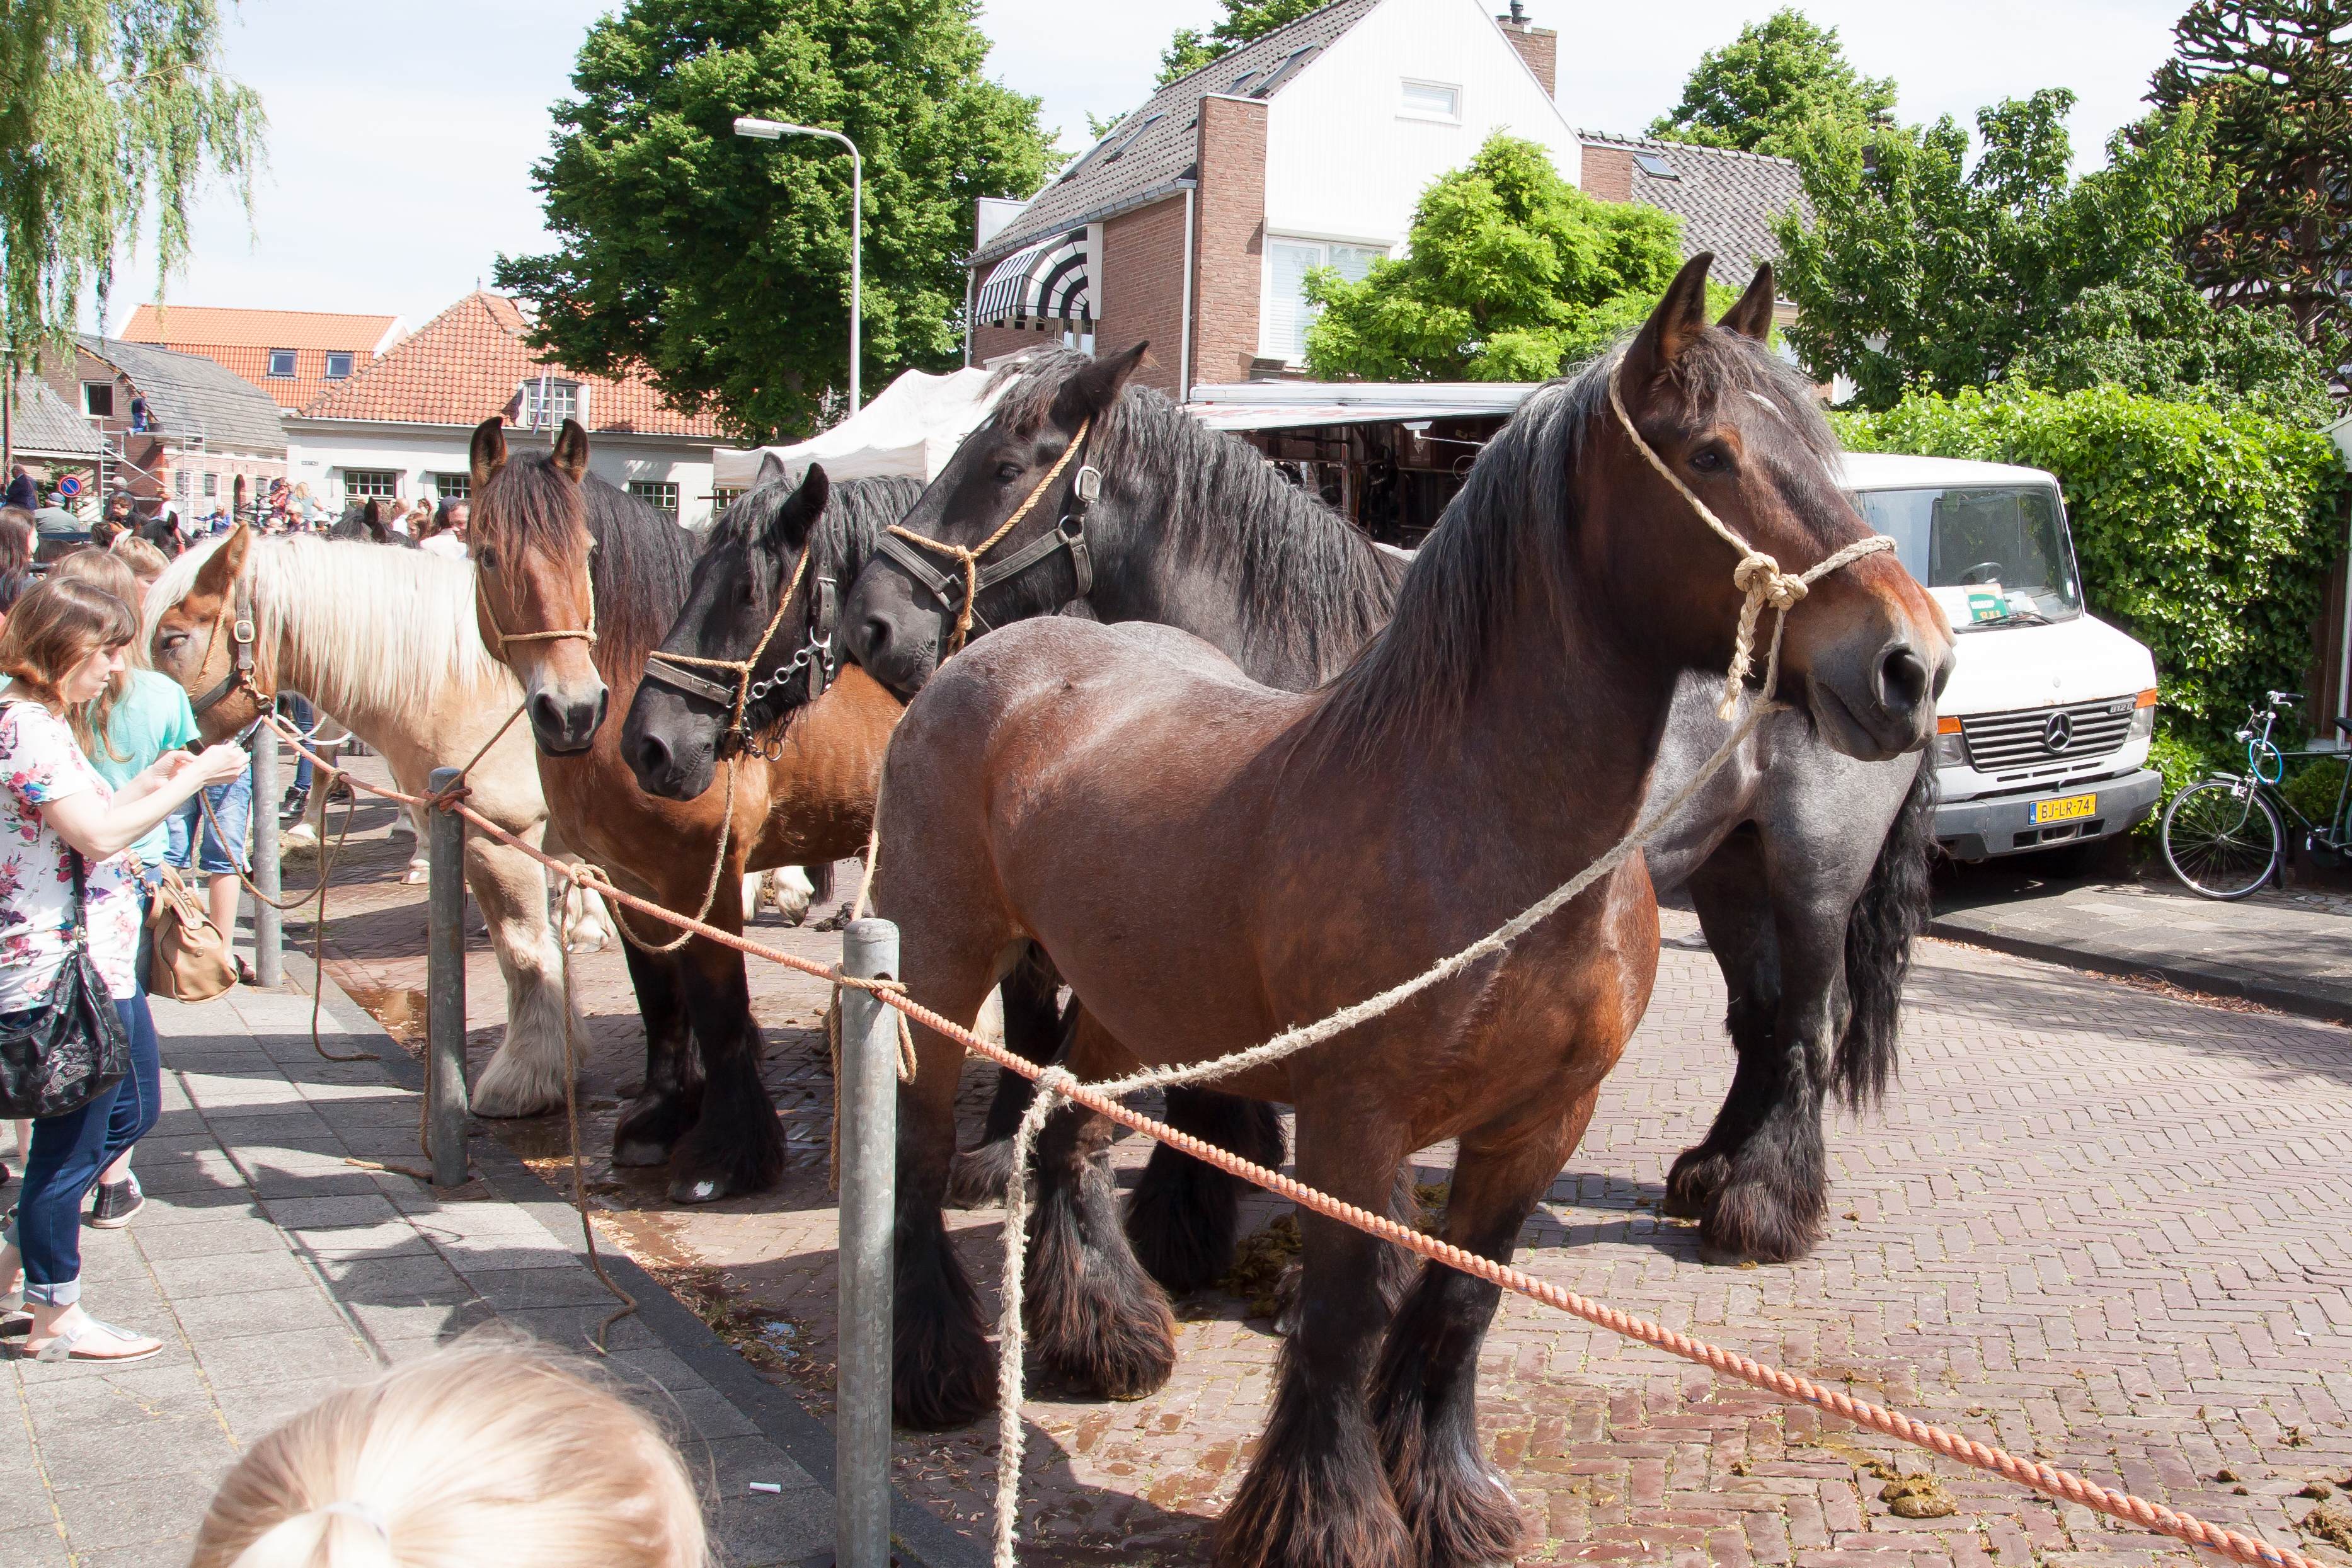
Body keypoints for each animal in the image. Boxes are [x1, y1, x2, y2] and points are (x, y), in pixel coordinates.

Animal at [466, 416, 898, 1203]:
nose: (570, 711)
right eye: (486, 554)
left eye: (587, 553)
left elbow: (717, 1002)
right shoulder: (627, 877)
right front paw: (661, 1116)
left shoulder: (704, 875)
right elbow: (660, 998)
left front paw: (724, 1154)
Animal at [875, 261, 1956, 1568]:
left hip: (1774, 877)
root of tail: (985, 662)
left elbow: (1458, 1301)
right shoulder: (1355, 1120)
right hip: (943, 963)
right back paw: (937, 1367)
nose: (1912, 662)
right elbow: (1348, 1313)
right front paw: (1325, 1519)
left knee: (1786, 1031)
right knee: (924, 1143)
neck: (1475, 816)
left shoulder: (1536, 1124)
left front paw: (1441, 1494)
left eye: (1003, 460)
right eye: (1710, 453)